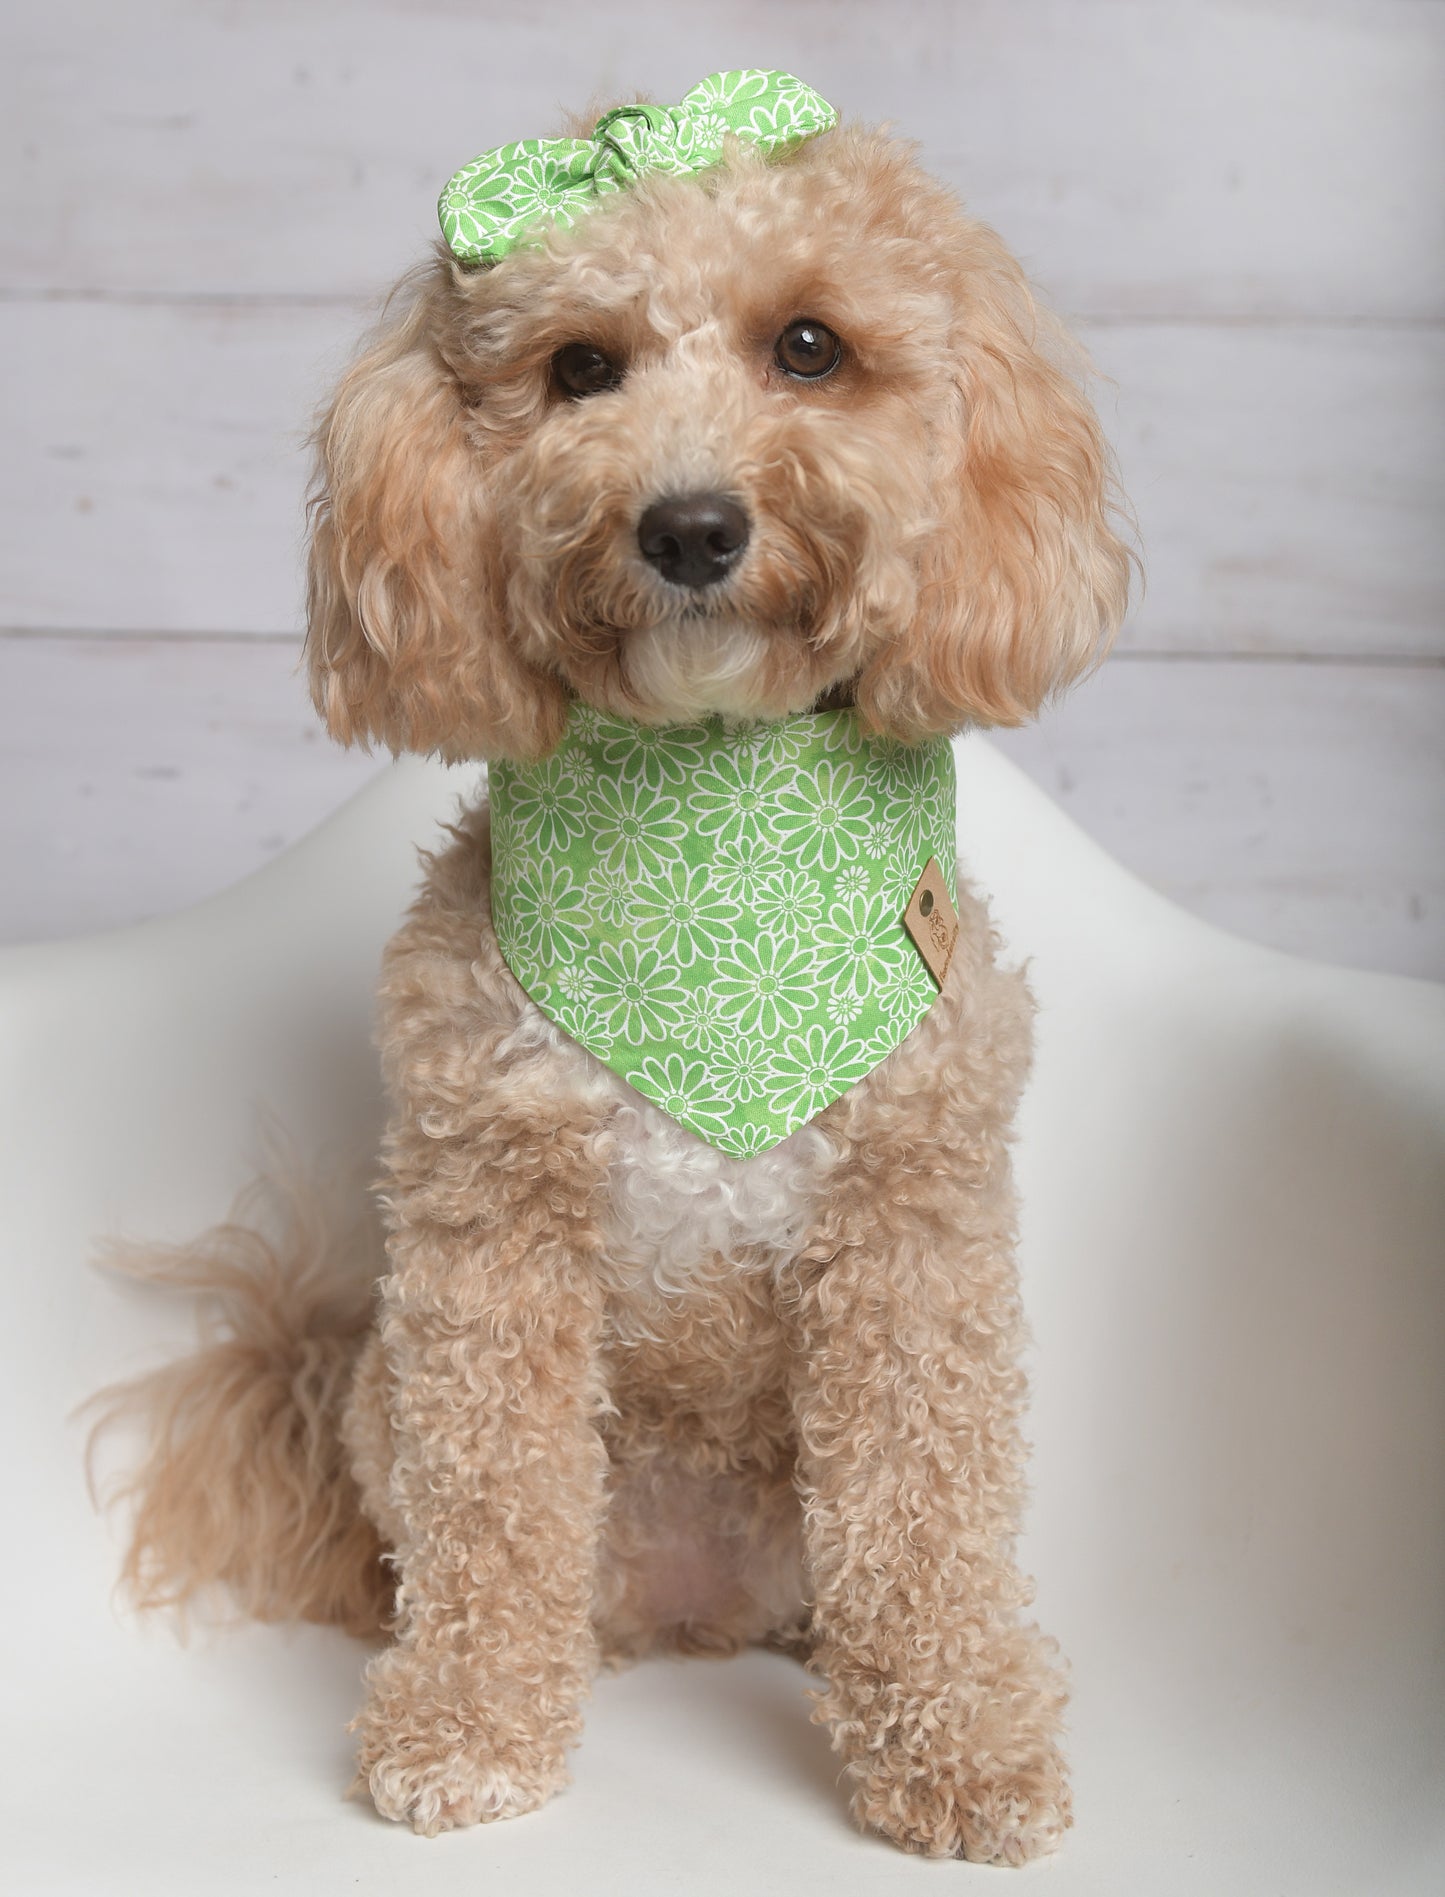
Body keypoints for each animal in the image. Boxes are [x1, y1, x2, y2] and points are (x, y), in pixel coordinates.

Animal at [92, 70, 1122, 1866]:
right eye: (580, 368)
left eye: (809, 346)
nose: (691, 525)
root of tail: (696, 1608)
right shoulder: (493, 1224)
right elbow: (494, 1500)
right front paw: (464, 1731)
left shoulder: (911, 1223)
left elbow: (927, 1509)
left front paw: (966, 1754)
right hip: (401, 1400)